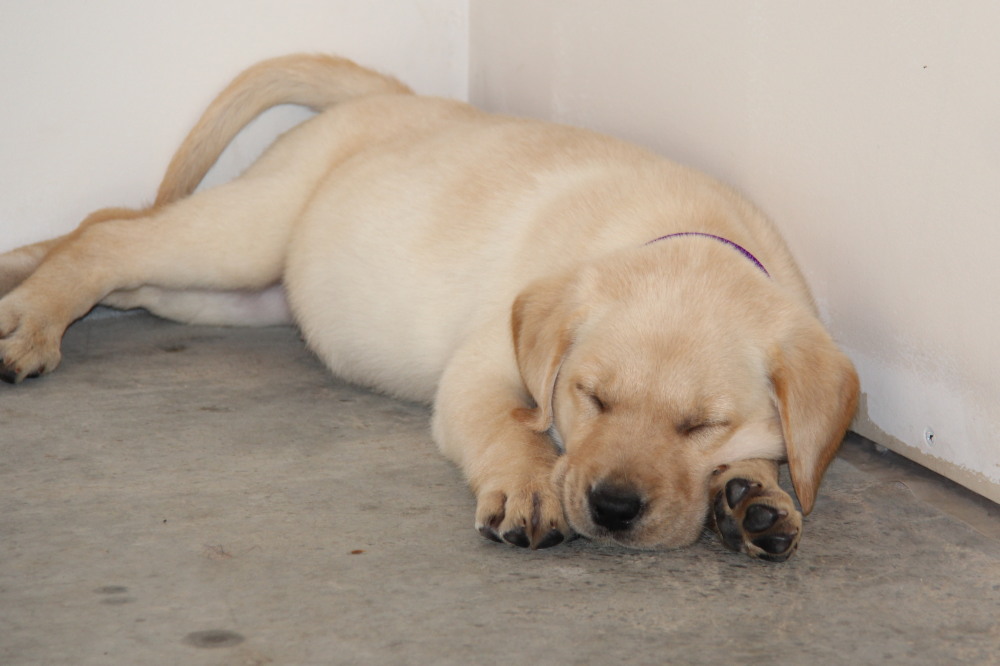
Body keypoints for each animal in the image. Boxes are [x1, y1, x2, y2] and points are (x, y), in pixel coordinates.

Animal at [0, 53, 860, 560]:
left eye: (701, 425)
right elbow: (510, 429)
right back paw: (27, 323)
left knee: (110, 240)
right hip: (245, 233)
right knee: (109, 239)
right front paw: (530, 485)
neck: (684, 233)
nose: (612, 507)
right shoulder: (482, 371)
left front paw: (753, 495)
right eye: (592, 397)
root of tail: (397, 99)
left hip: (224, 296)